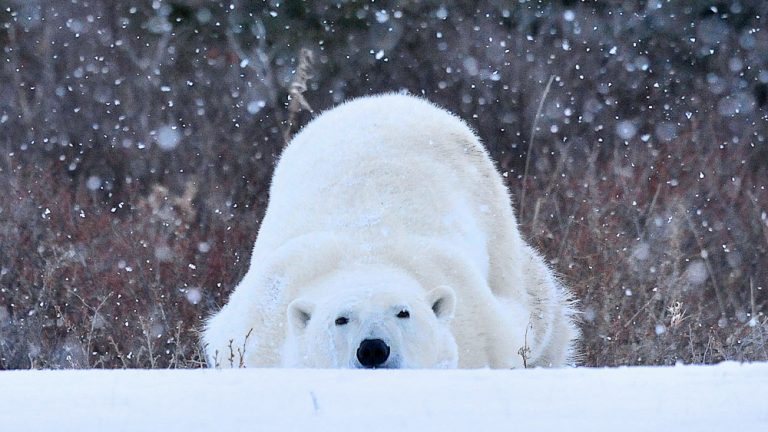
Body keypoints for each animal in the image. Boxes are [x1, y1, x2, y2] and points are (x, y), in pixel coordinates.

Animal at [202, 93, 579, 369]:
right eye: (341, 319)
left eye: (403, 312)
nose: (372, 349)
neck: (367, 255)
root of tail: (389, 98)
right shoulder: (261, 326)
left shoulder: (474, 323)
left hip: (498, 228)